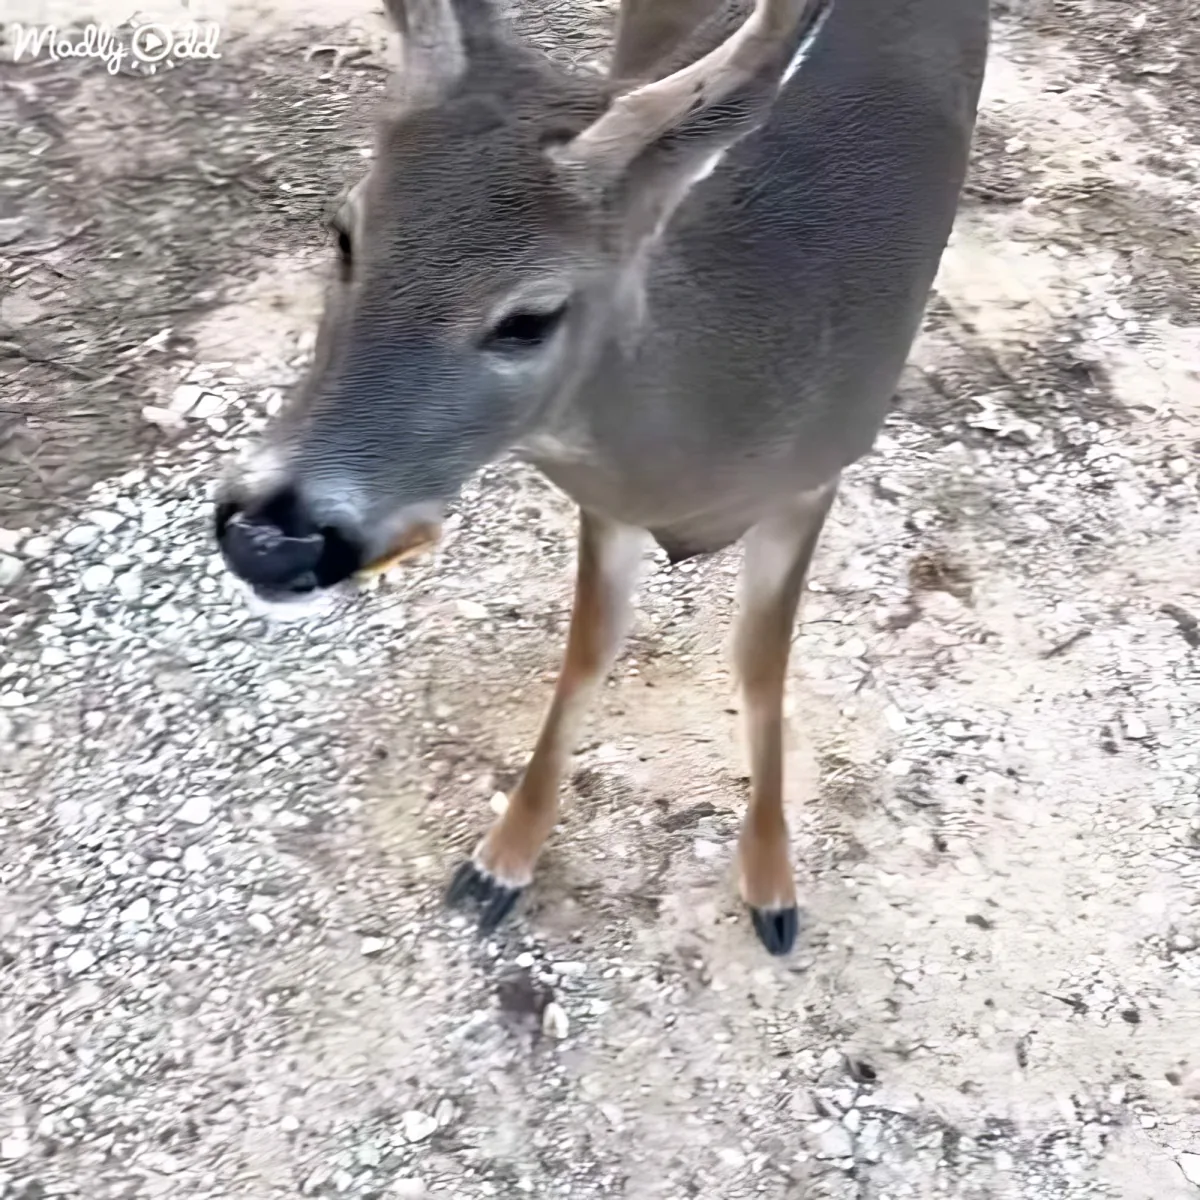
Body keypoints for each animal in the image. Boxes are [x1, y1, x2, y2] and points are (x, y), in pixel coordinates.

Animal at [213, 0, 989, 955]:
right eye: (345, 233)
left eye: (530, 317)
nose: (269, 538)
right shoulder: (607, 504)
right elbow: (589, 651)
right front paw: (499, 861)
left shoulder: (818, 476)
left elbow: (760, 663)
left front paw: (772, 885)